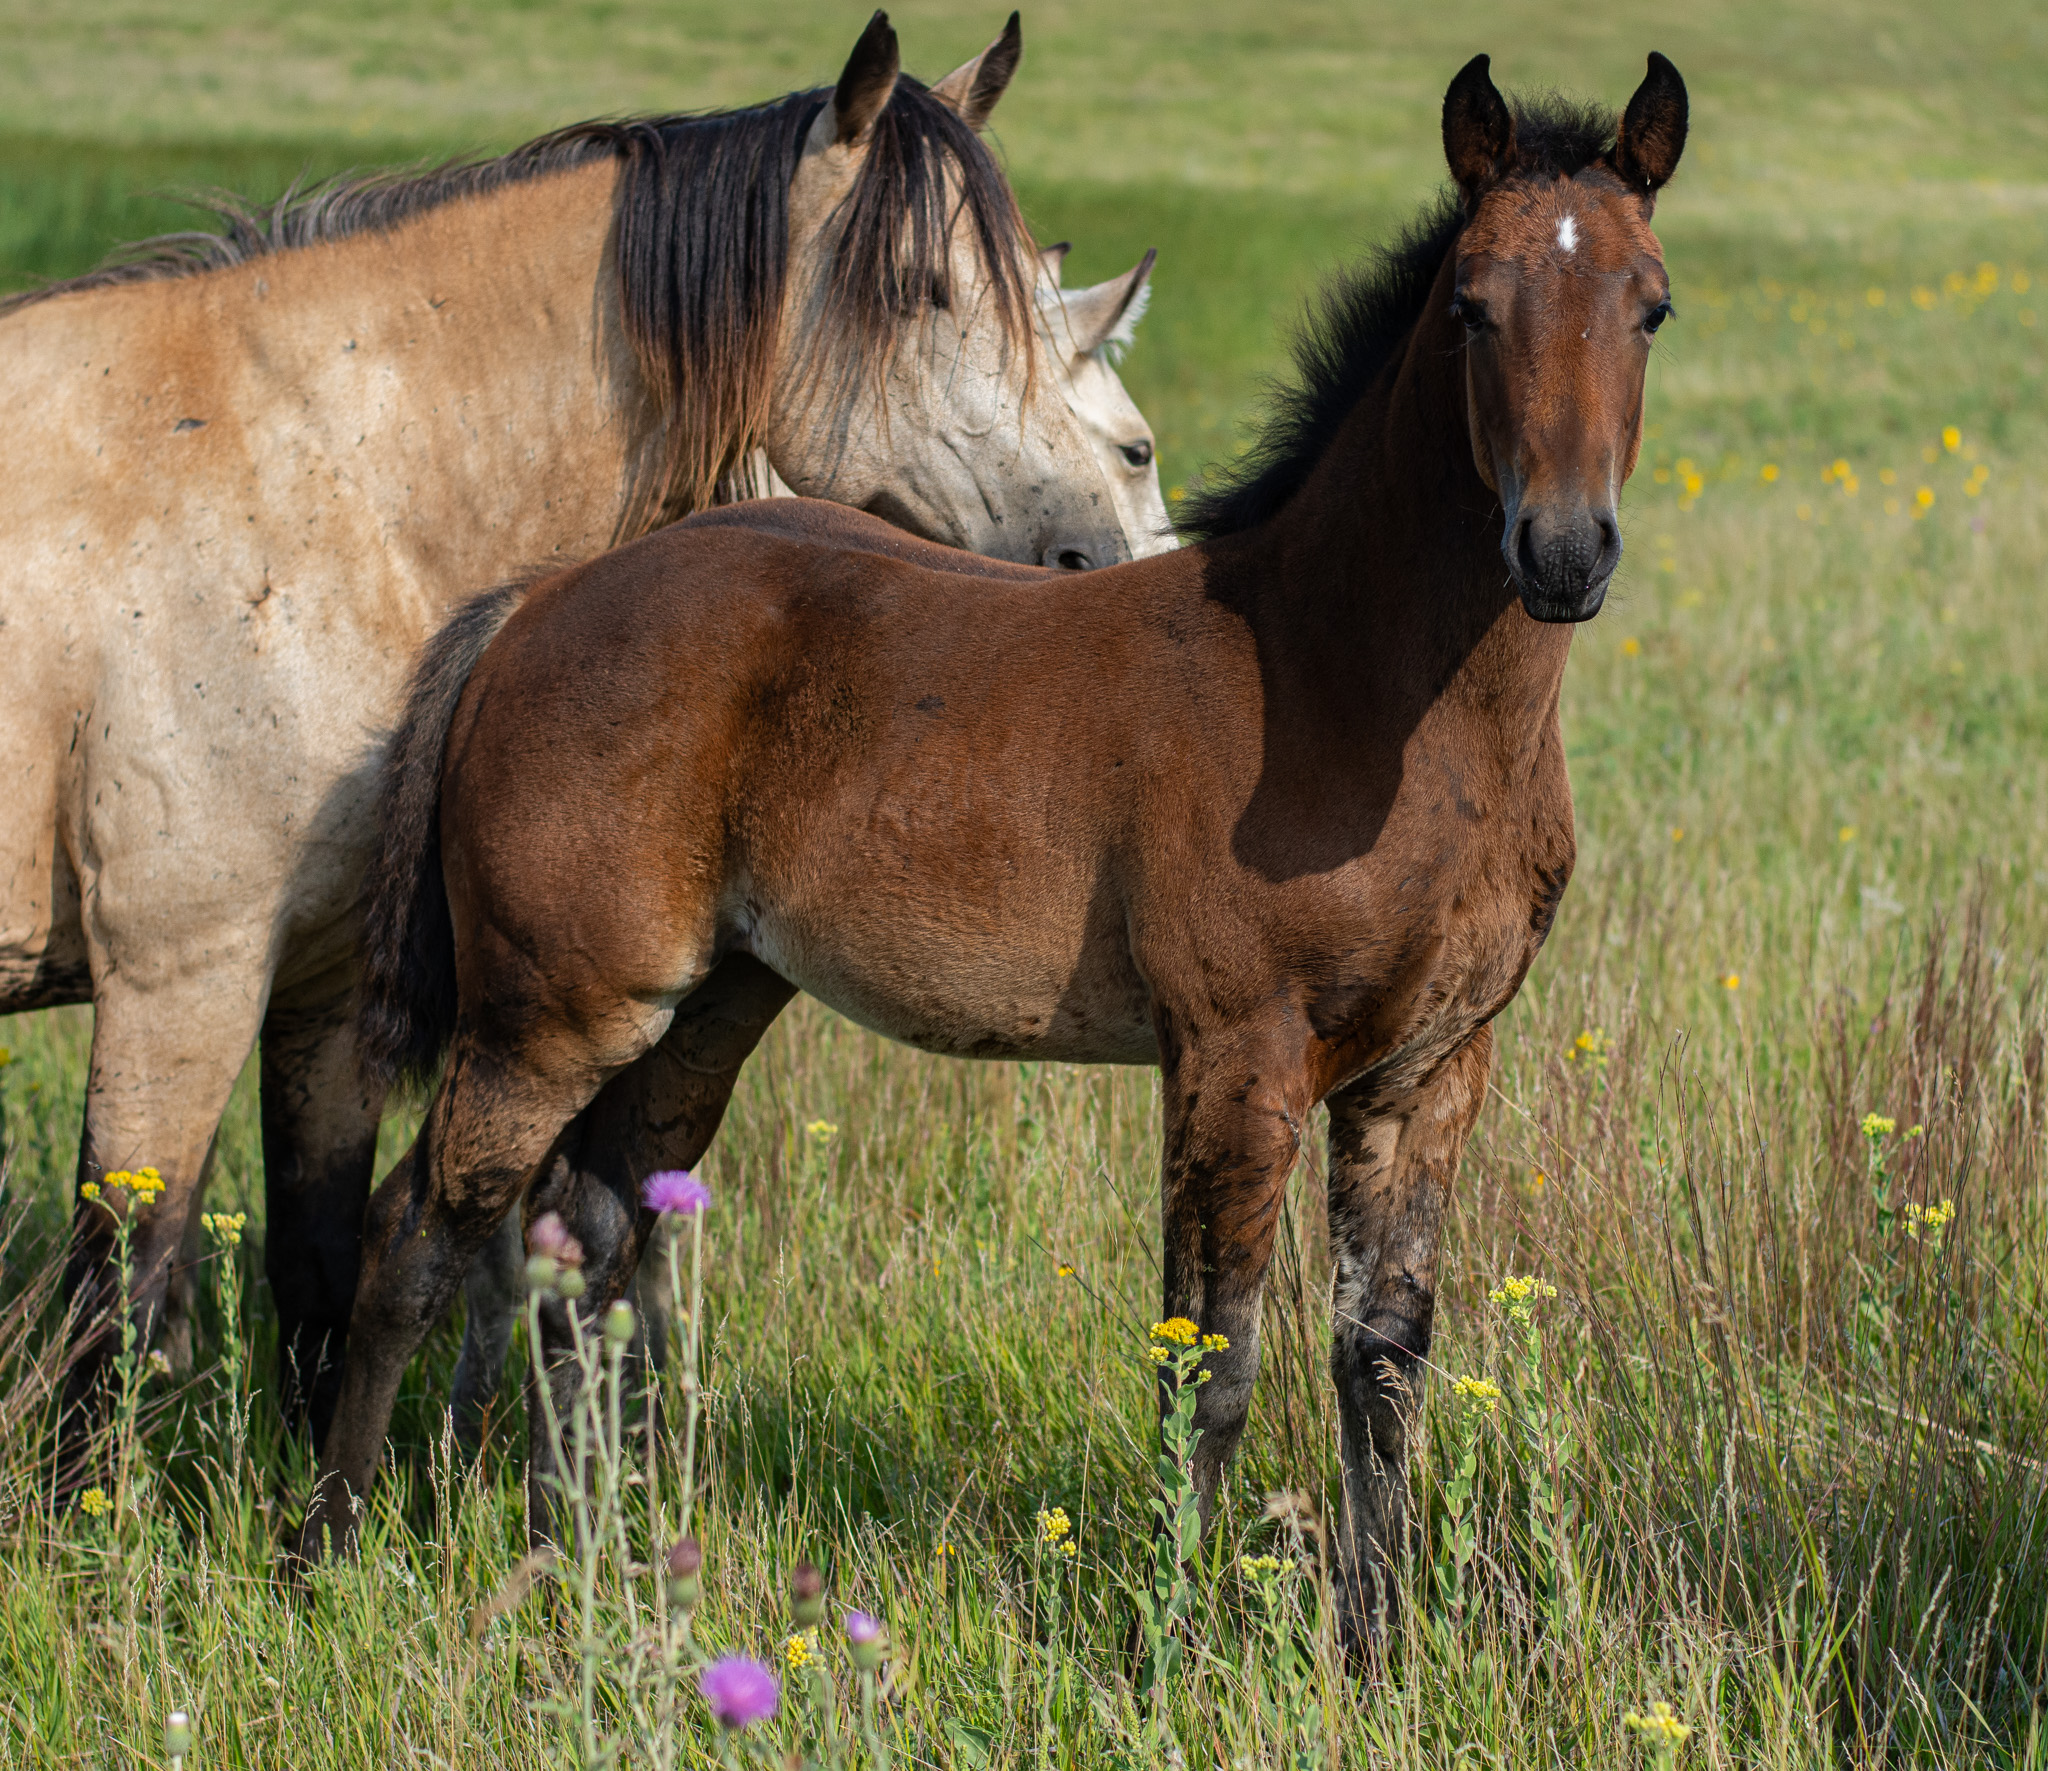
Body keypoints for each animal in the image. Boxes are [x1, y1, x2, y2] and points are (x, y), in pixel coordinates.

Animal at [0, 9, 1150, 1463]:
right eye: (917, 289)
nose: (1089, 559)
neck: (300, 488)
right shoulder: (177, 980)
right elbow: (121, 1287)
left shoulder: (319, 989)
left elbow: (318, 1262)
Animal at [303, 52, 1688, 1647]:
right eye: (1470, 305)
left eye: (1652, 304)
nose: (1562, 552)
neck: (1349, 685)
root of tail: (537, 600)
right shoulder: (1235, 1055)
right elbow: (1208, 1366)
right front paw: (1167, 1643)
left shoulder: (1432, 1067)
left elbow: (1382, 1359)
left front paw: (1377, 1643)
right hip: (551, 1009)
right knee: (418, 1233)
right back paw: (325, 1550)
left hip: (696, 1010)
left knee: (581, 1249)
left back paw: (571, 1560)